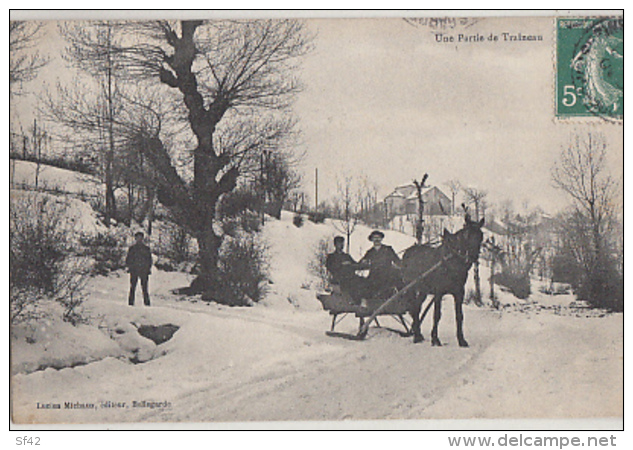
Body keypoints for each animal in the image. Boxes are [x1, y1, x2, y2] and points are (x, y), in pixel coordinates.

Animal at [400, 216, 484, 346]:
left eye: (481, 235)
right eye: (467, 235)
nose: (473, 256)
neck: (452, 262)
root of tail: (407, 253)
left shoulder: (459, 292)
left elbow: (459, 316)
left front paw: (461, 340)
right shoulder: (438, 292)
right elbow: (437, 315)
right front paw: (435, 339)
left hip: (423, 291)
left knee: (416, 307)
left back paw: (417, 333)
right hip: (410, 288)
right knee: (414, 308)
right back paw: (417, 336)